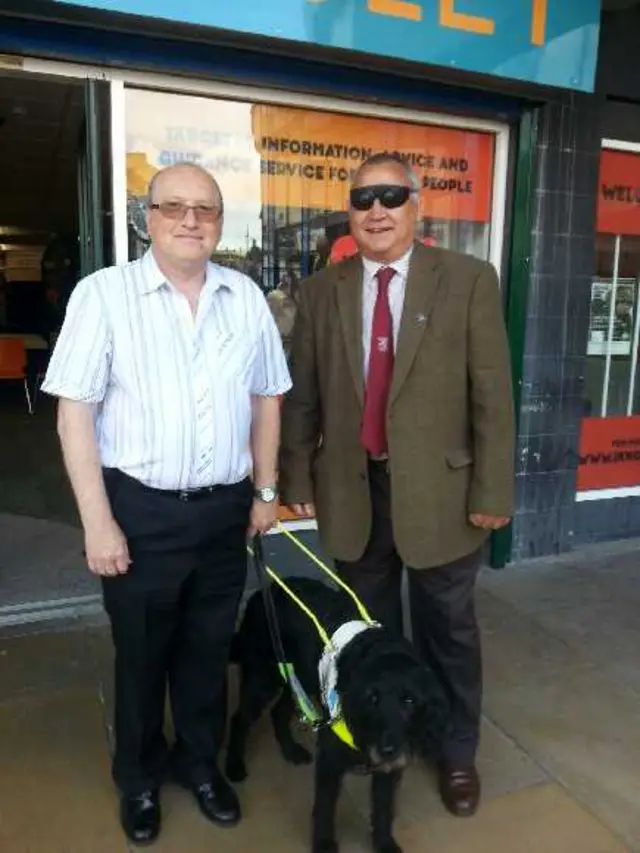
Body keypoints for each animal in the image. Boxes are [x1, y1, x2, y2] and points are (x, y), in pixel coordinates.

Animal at [225, 576, 450, 852]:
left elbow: (383, 809)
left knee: (278, 713)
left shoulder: (389, 771)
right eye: (372, 699)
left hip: (301, 680)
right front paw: (323, 843)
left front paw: (383, 843)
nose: (387, 750)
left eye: (409, 700)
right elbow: (325, 807)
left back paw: (291, 751)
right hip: (263, 679)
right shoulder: (329, 761)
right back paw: (234, 765)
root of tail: (260, 593)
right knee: (240, 719)